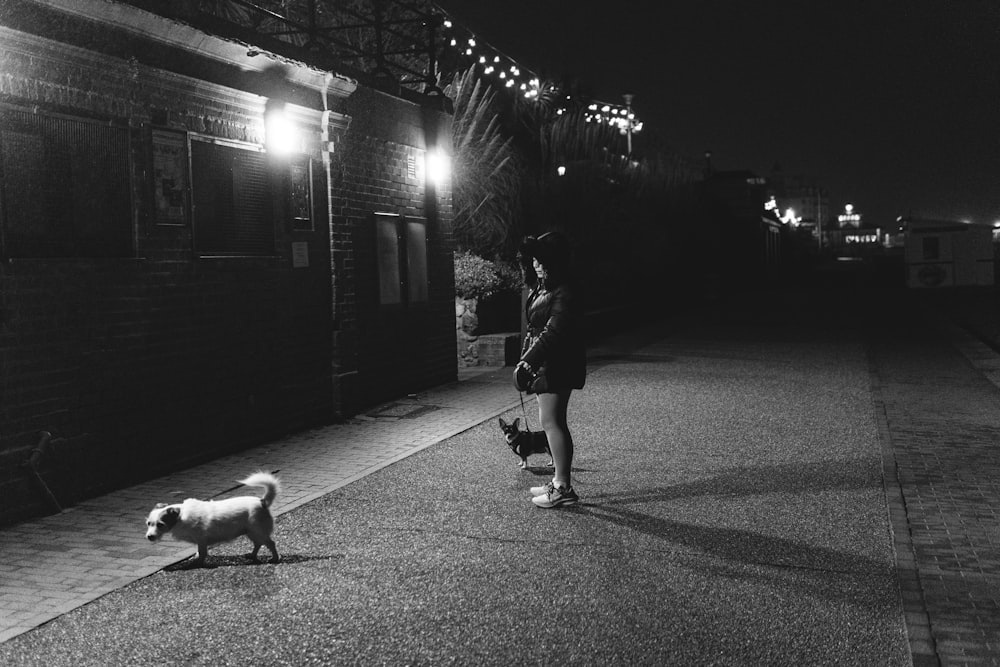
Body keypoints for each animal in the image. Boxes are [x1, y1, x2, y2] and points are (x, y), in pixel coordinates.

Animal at [144, 470, 282, 568]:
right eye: (149, 523)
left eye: (160, 524)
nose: (149, 537)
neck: (180, 517)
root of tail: (262, 501)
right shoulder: (199, 541)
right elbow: (199, 552)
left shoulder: (201, 540)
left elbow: (202, 553)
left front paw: (198, 563)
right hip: (252, 532)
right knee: (258, 544)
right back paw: (252, 555)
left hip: (258, 531)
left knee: (270, 543)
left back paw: (274, 558)